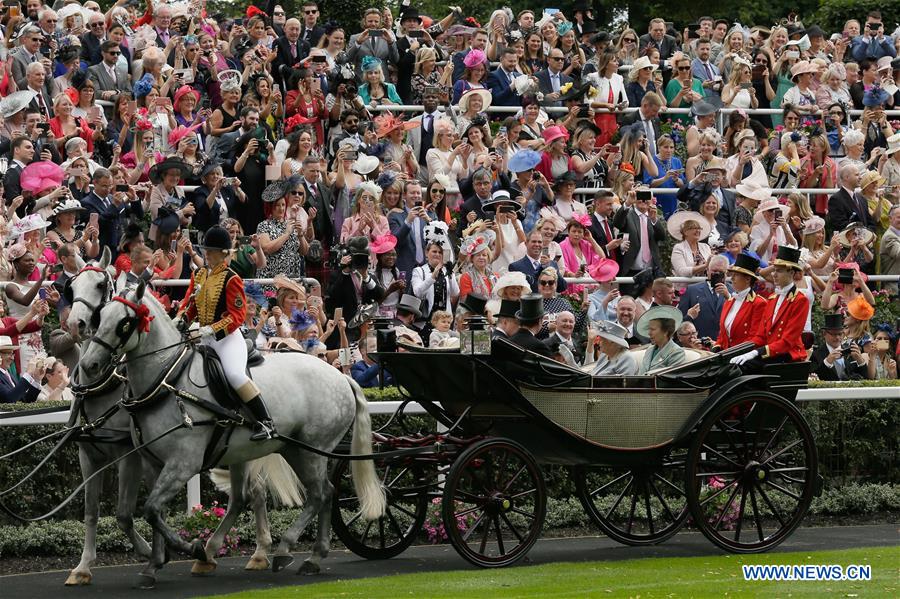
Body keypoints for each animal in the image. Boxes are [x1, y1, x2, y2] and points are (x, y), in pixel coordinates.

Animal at [78, 284, 384, 588]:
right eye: (99, 316)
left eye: (124, 323)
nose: (89, 364)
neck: (168, 379)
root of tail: (339, 375)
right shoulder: (154, 463)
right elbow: (155, 513)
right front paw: (154, 564)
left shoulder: (182, 464)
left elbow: (152, 509)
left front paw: (191, 548)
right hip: (289, 450)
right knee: (308, 493)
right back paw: (309, 556)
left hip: (310, 451)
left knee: (319, 494)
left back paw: (285, 549)